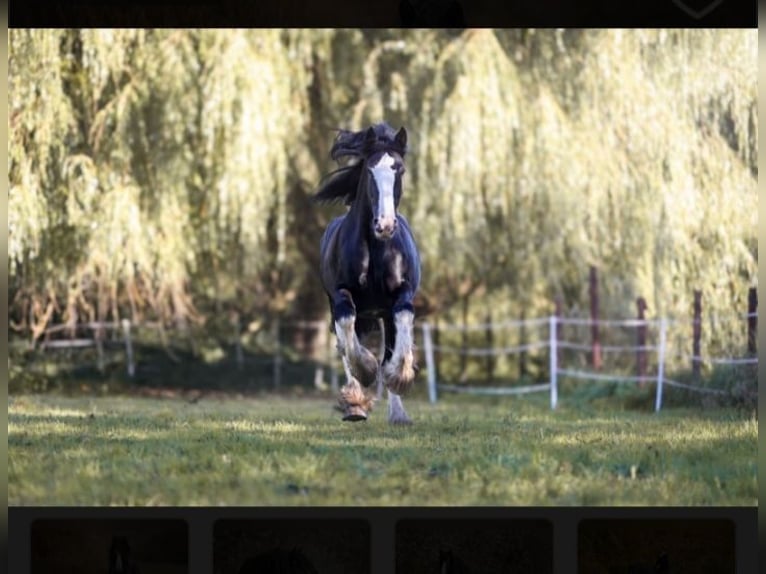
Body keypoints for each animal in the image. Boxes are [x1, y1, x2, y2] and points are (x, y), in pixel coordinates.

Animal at [318, 122, 426, 428]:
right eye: (369, 170)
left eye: (399, 169)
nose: (385, 225)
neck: (376, 249)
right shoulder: (341, 295)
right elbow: (348, 335)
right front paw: (366, 373)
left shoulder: (402, 294)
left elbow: (401, 328)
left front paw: (399, 377)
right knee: (344, 343)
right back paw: (355, 405)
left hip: (381, 313)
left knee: (389, 343)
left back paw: (397, 413)